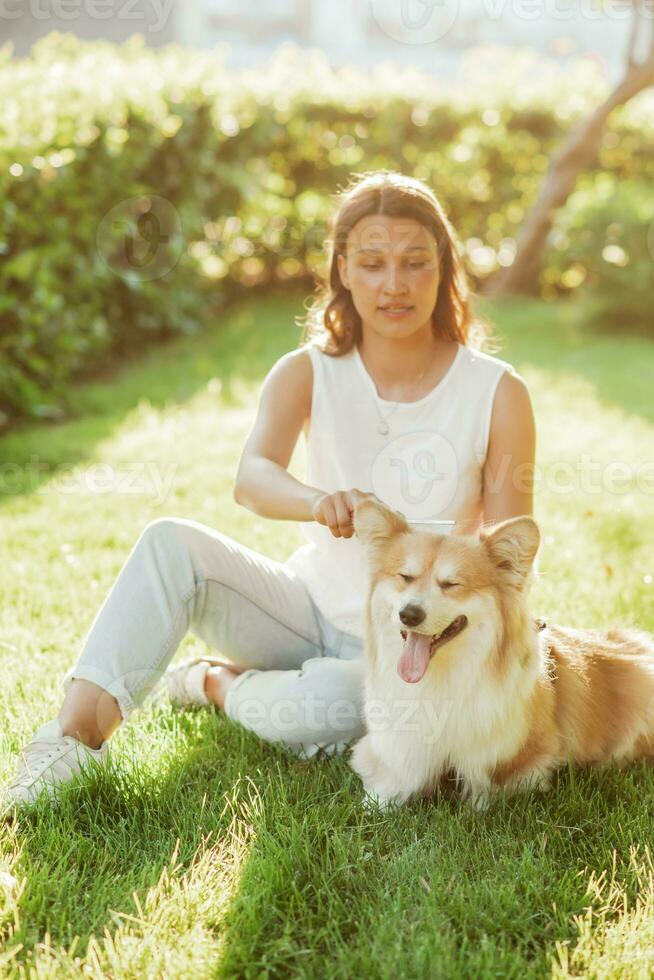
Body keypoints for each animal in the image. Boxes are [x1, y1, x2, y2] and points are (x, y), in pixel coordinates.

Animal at [352, 498, 654, 812]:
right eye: (405, 577)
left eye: (451, 584)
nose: (409, 614)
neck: (444, 676)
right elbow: (392, 780)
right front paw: (378, 803)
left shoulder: (524, 760)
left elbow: (490, 787)